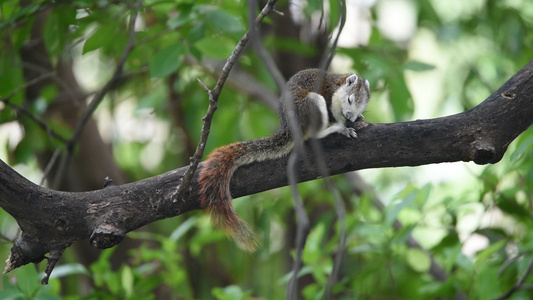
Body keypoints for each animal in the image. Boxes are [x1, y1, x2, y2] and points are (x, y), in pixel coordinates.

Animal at [196, 68, 370, 251]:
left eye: (362, 106)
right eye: (349, 99)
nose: (350, 116)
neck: (338, 85)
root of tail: (289, 128)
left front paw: (358, 118)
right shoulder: (328, 96)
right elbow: (333, 116)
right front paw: (343, 126)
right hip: (311, 104)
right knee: (313, 134)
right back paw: (333, 130)